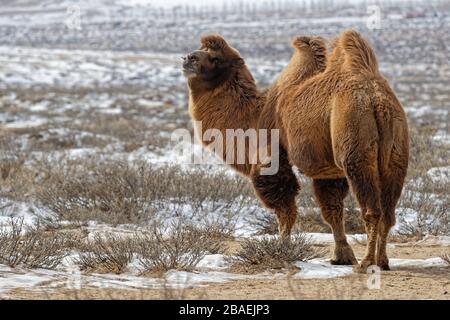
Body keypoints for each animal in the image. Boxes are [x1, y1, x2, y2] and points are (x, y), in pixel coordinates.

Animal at [276, 30, 410, 272]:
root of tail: (378, 103)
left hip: (356, 152)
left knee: (371, 210)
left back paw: (366, 262)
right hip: (397, 155)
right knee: (388, 212)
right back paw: (383, 261)